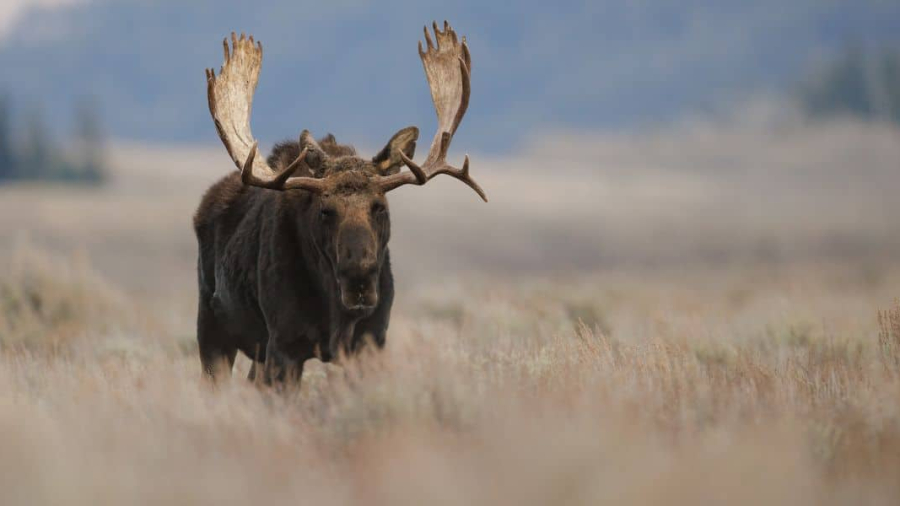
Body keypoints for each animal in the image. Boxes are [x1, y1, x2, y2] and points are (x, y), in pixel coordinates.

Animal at [193, 21, 485, 384]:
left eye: (380, 206)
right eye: (325, 210)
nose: (359, 275)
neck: (336, 313)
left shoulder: (370, 342)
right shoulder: (284, 345)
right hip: (212, 328)